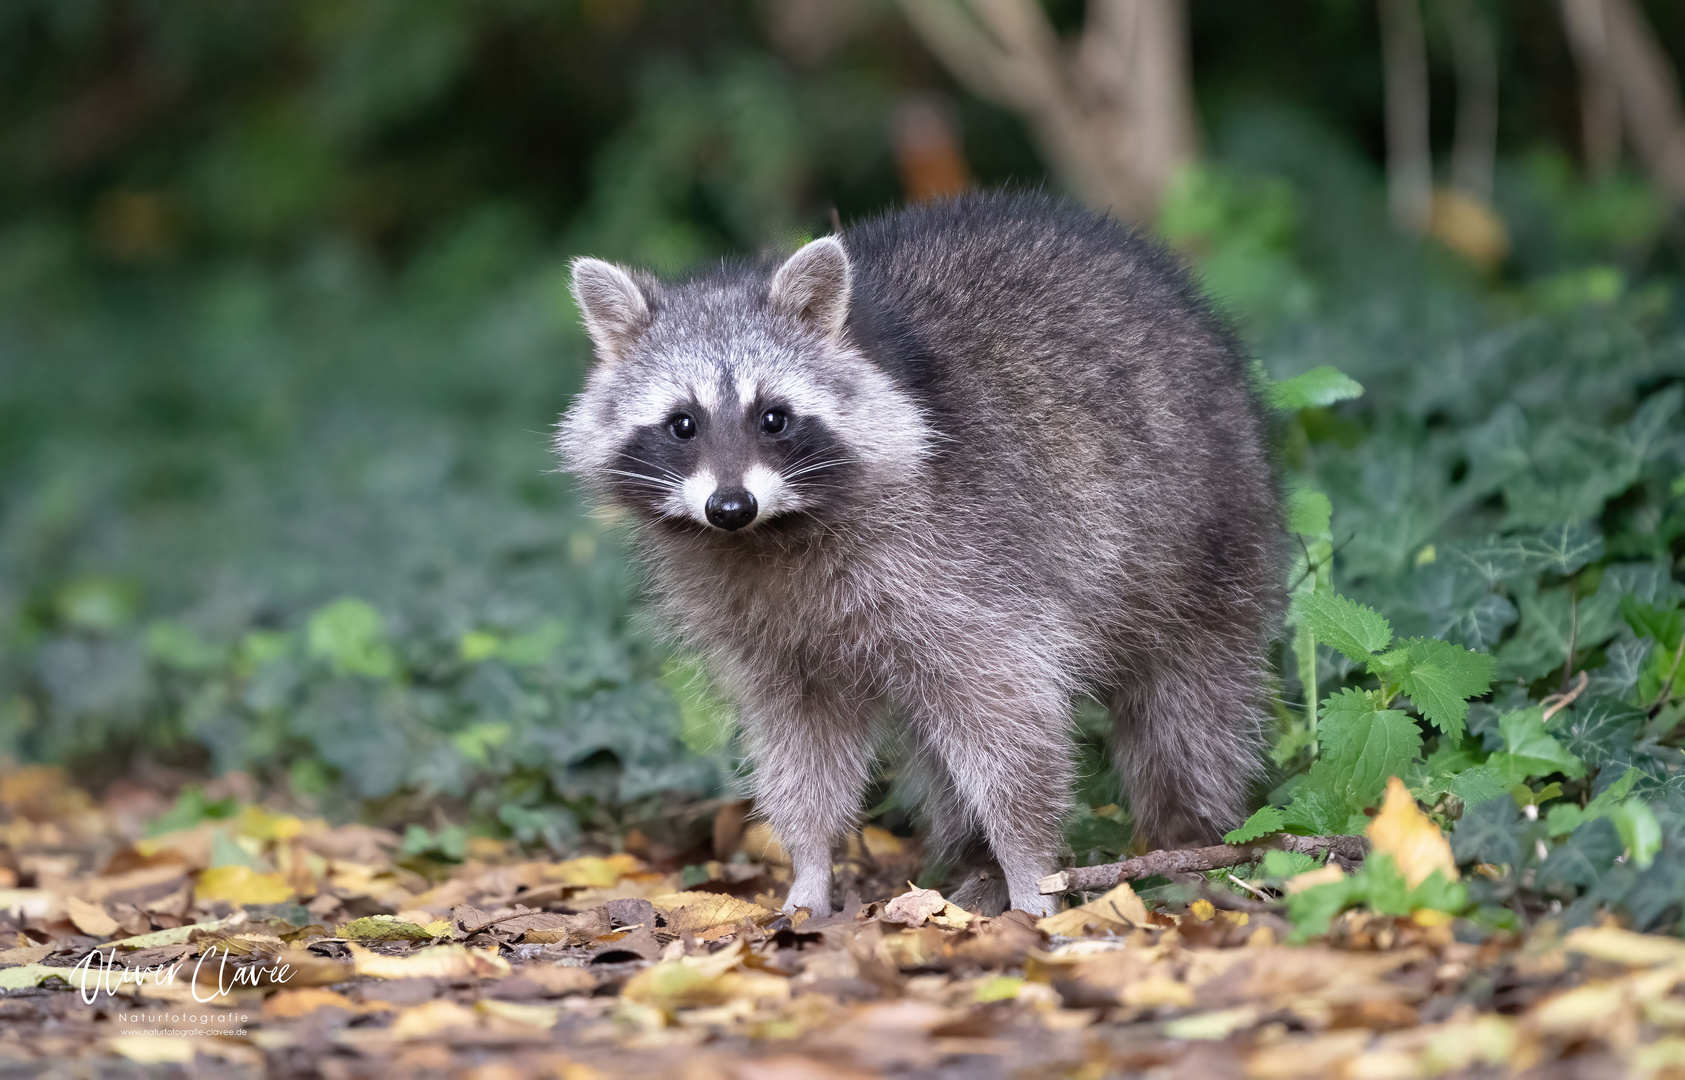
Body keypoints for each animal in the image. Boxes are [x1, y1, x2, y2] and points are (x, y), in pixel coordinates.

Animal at [552, 189, 1273, 916]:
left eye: (773, 417)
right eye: (683, 424)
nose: (730, 506)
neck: (771, 535)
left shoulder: (965, 564)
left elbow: (1011, 721)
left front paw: (1030, 870)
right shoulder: (768, 631)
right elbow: (799, 747)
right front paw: (810, 869)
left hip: (1206, 527)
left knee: (1189, 705)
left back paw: (1188, 837)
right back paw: (974, 862)